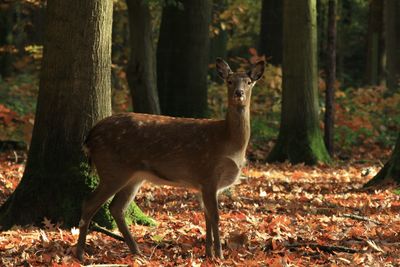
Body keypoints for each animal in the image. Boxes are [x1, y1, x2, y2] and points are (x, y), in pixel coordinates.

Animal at [76, 57, 264, 260]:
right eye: (229, 81)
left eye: (248, 82)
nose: (239, 93)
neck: (229, 142)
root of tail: (90, 136)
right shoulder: (208, 173)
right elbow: (215, 216)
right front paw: (219, 256)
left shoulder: (204, 184)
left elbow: (206, 216)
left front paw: (208, 254)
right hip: (112, 169)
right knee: (89, 203)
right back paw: (80, 255)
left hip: (134, 176)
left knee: (116, 208)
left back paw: (137, 252)